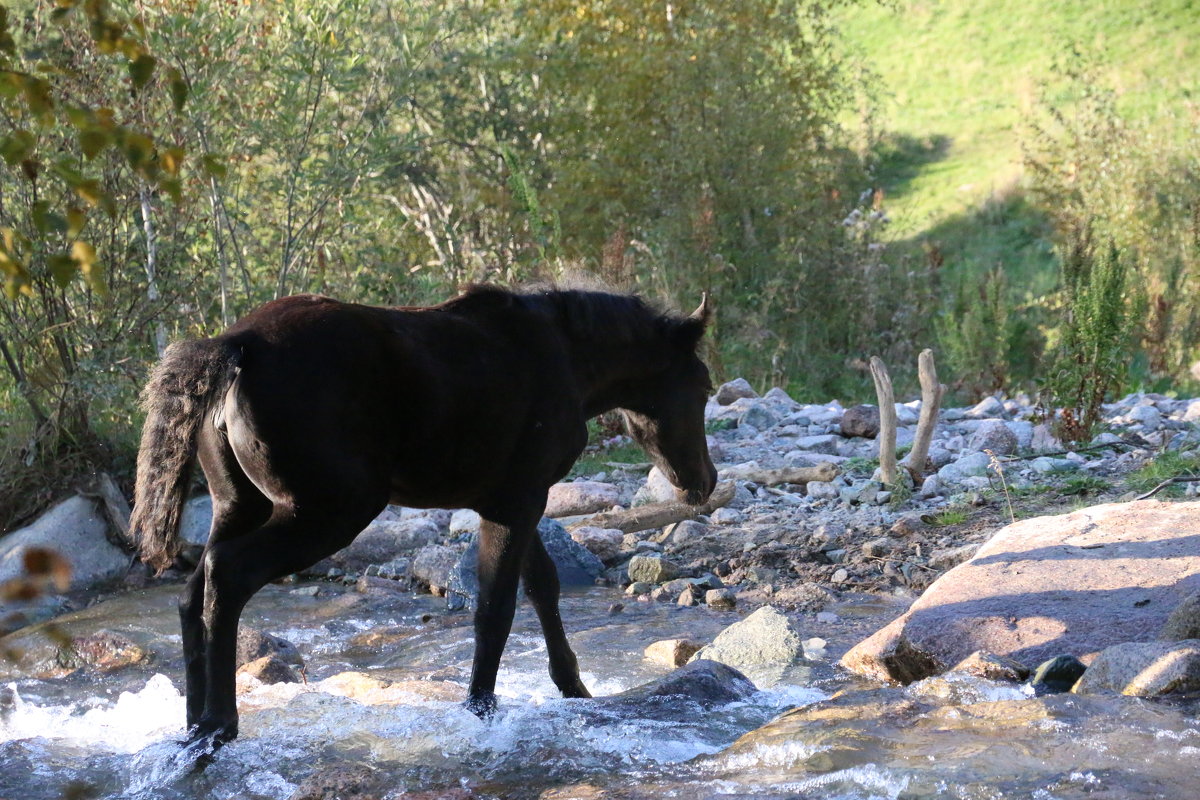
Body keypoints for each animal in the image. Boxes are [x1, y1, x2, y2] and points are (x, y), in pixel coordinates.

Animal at [131, 286, 710, 753]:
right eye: (703, 386)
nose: (702, 482)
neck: (566, 357)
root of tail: (235, 345)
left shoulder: (512, 500)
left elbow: (542, 586)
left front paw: (574, 687)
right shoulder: (519, 499)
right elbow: (495, 608)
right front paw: (480, 710)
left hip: (239, 504)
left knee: (194, 592)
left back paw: (191, 725)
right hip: (327, 511)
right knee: (229, 575)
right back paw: (219, 726)